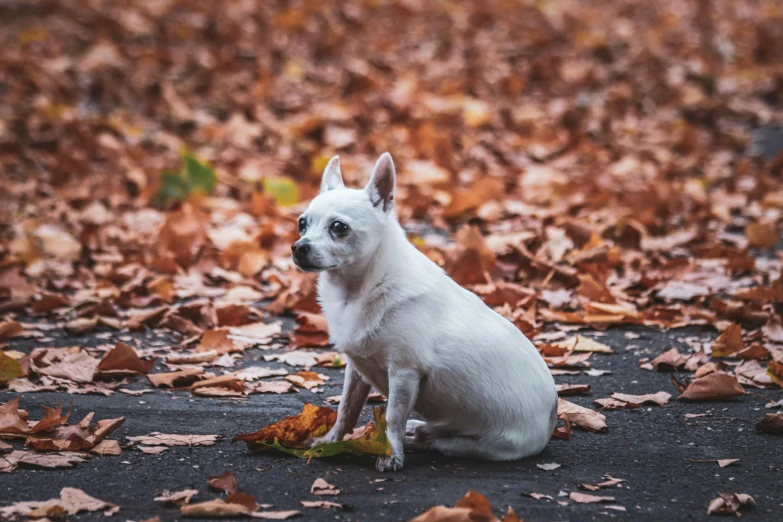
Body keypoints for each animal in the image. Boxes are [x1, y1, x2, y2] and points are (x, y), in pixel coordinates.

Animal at [292, 152, 556, 470]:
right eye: (302, 224)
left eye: (339, 228)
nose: (298, 247)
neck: (357, 289)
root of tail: (552, 418)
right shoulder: (357, 370)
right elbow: (346, 409)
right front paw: (330, 442)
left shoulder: (404, 373)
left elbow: (392, 417)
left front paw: (390, 454)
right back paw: (417, 427)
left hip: (481, 445)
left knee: (437, 442)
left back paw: (416, 437)